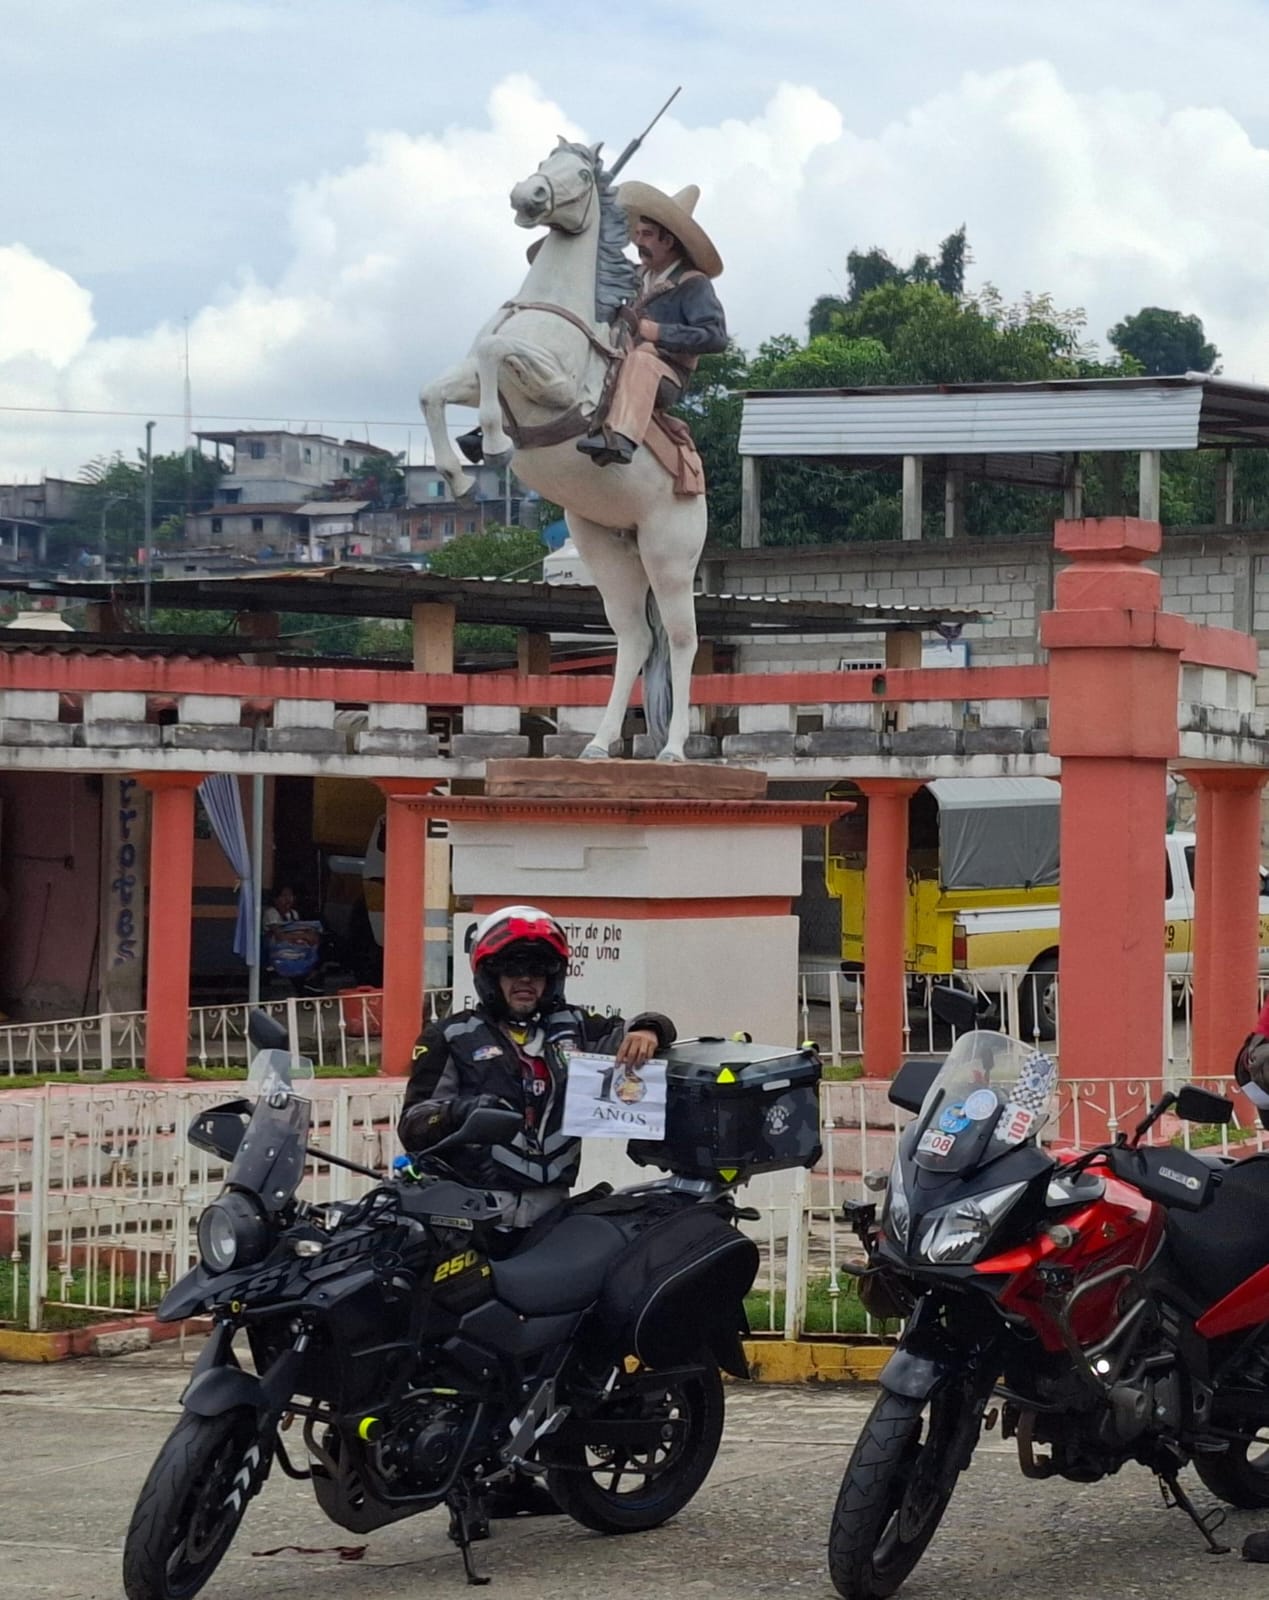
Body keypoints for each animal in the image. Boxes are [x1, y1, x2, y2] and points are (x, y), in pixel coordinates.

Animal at [422, 137, 704, 761]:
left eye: (578, 173)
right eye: (542, 163)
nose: (526, 196)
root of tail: (697, 491)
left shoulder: (549, 386)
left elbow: (496, 352)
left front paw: (496, 444)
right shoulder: (470, 379)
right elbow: (434, 391)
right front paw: (458, 472)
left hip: (670, 558)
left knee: (680, 639)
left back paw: (673, 750)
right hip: (607, 550)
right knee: (634, 637)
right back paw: (598, 744)